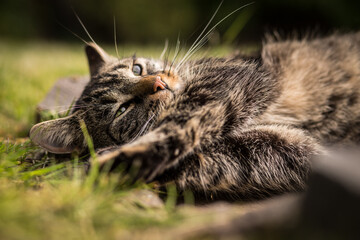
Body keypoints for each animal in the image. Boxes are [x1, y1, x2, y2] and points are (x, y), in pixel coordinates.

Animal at [29, 32, 360, 201]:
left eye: (137, 69)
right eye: (122, 110)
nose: (159, 83)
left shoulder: (220, 87)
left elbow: (177, 125)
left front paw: (117, 158)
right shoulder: (268, 150)